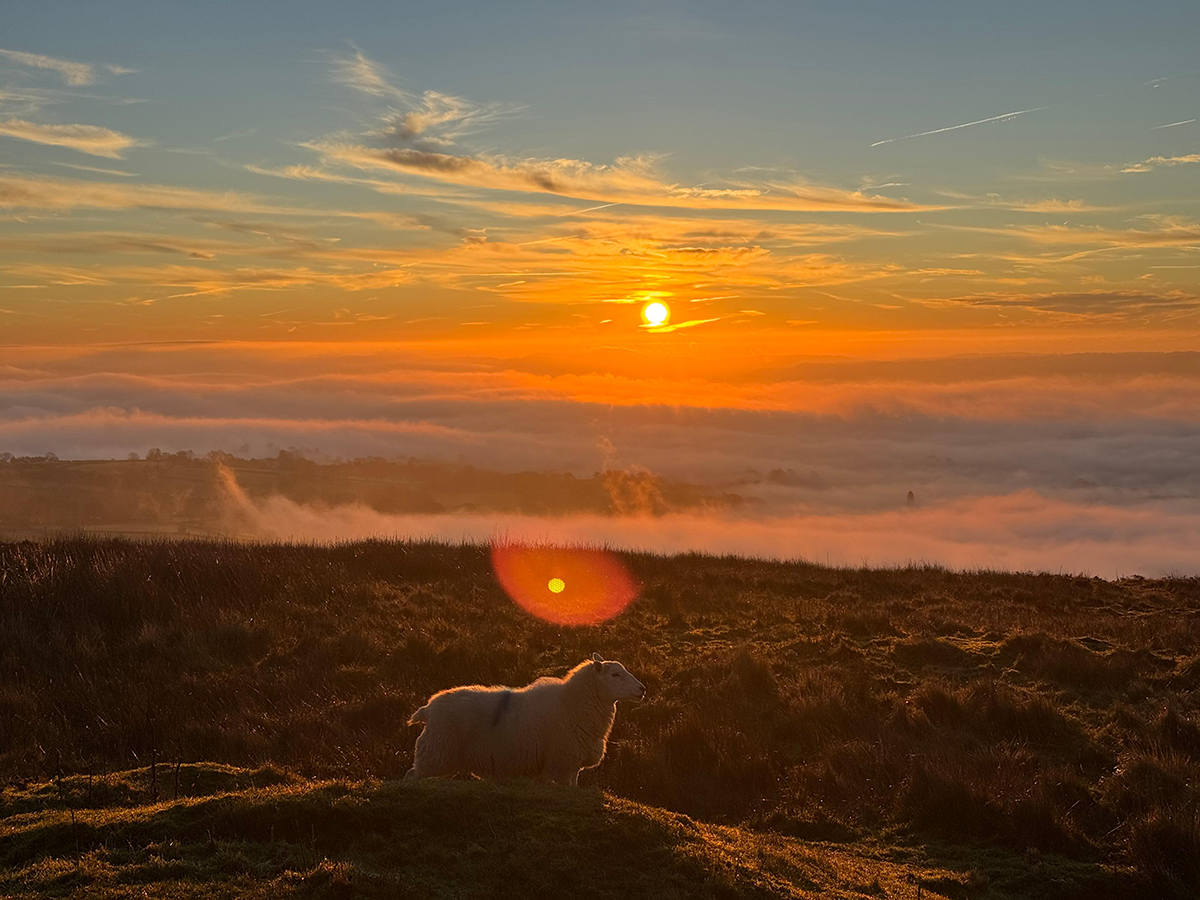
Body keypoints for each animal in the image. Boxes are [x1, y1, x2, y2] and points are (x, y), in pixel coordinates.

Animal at [403, 652, 648, 787]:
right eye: (615, 675)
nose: (642, 690)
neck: (573, 703)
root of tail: (429, 708)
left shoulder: (572, 764)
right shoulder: (562, 761)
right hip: (436, 752)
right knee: (411, 776)